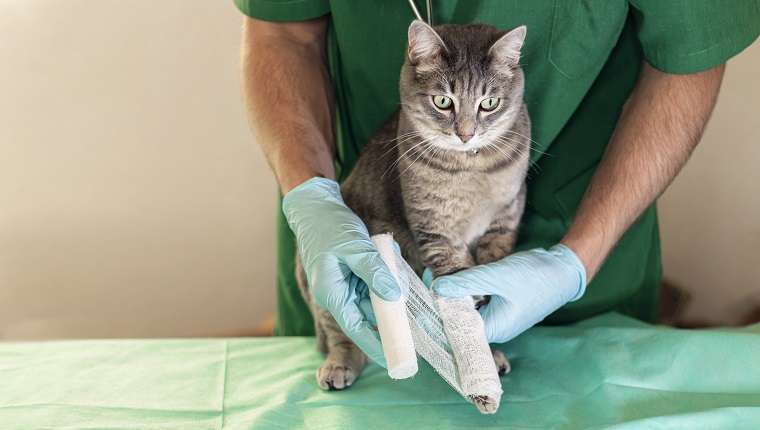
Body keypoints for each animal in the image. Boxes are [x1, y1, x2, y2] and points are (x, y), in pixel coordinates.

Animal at [296, 20, 528, 406]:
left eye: (490, 103)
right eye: (443, 101)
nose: (466, 135)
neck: (472, 170)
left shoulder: (502, 225)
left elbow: (488, 282)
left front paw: (490, 351)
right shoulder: (435, 230)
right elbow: (458, 282)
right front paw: (480, 368)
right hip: (316, 278)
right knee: (341, 330)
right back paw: (339, 363)